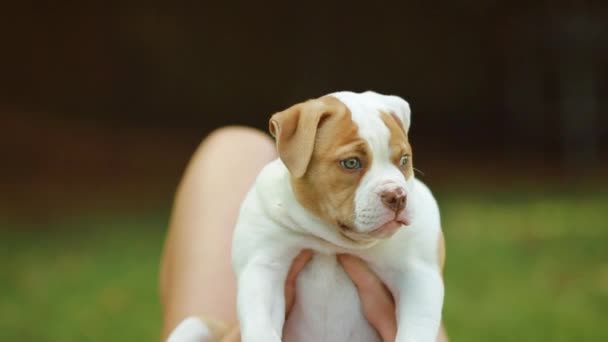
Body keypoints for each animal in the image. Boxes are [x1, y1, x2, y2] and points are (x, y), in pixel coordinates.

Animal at [169, 91, 444, 342]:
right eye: (351, 163)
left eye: (404, 160)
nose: (397, 196)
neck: (331, 242)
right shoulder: (263, 266)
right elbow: (261, 324)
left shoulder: (418, 273)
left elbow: (416, 329)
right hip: (195, 325)